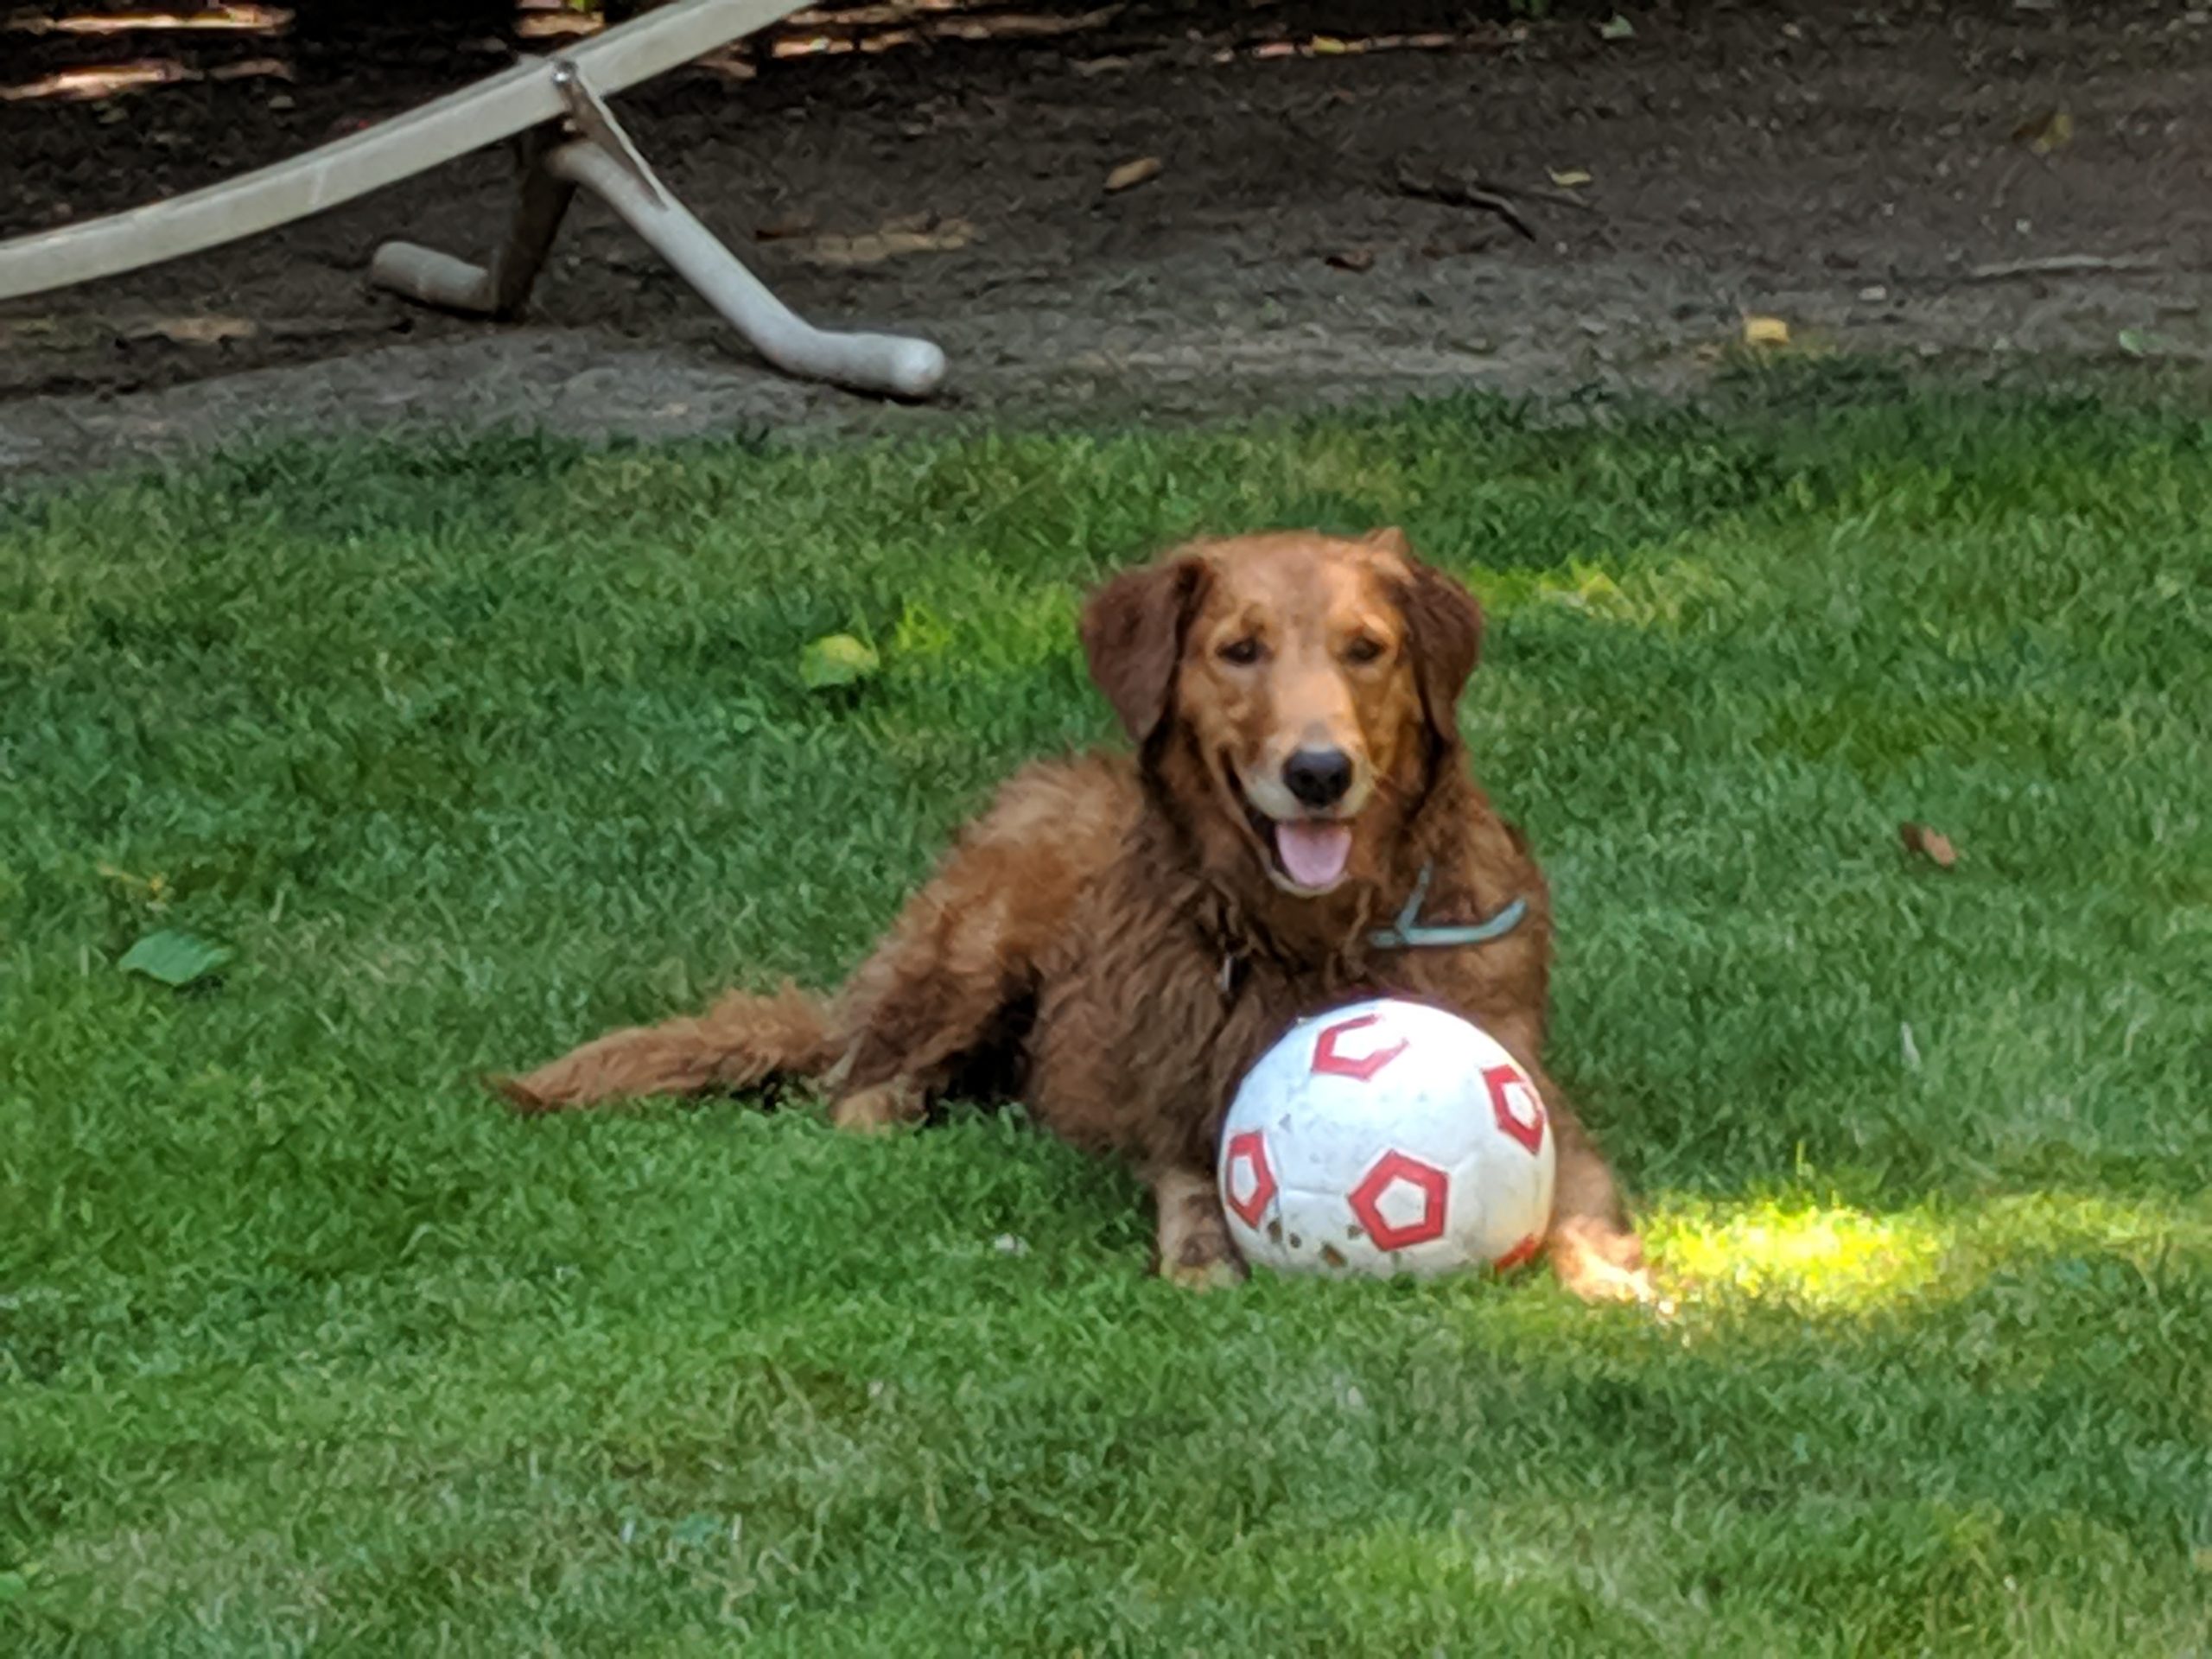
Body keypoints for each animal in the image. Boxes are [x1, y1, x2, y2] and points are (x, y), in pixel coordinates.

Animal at [493, 528, 1654, 1300]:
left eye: (1365, 649)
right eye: (1239, 650)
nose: (1318, 773)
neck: (1317, 938)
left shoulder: (1534, 1088)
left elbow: (1582, 1203)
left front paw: (1612, 1285)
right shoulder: (1180, 1102)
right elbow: (1192, 1191)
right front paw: (1205, 1261)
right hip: (974, 950)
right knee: (858, 1088)